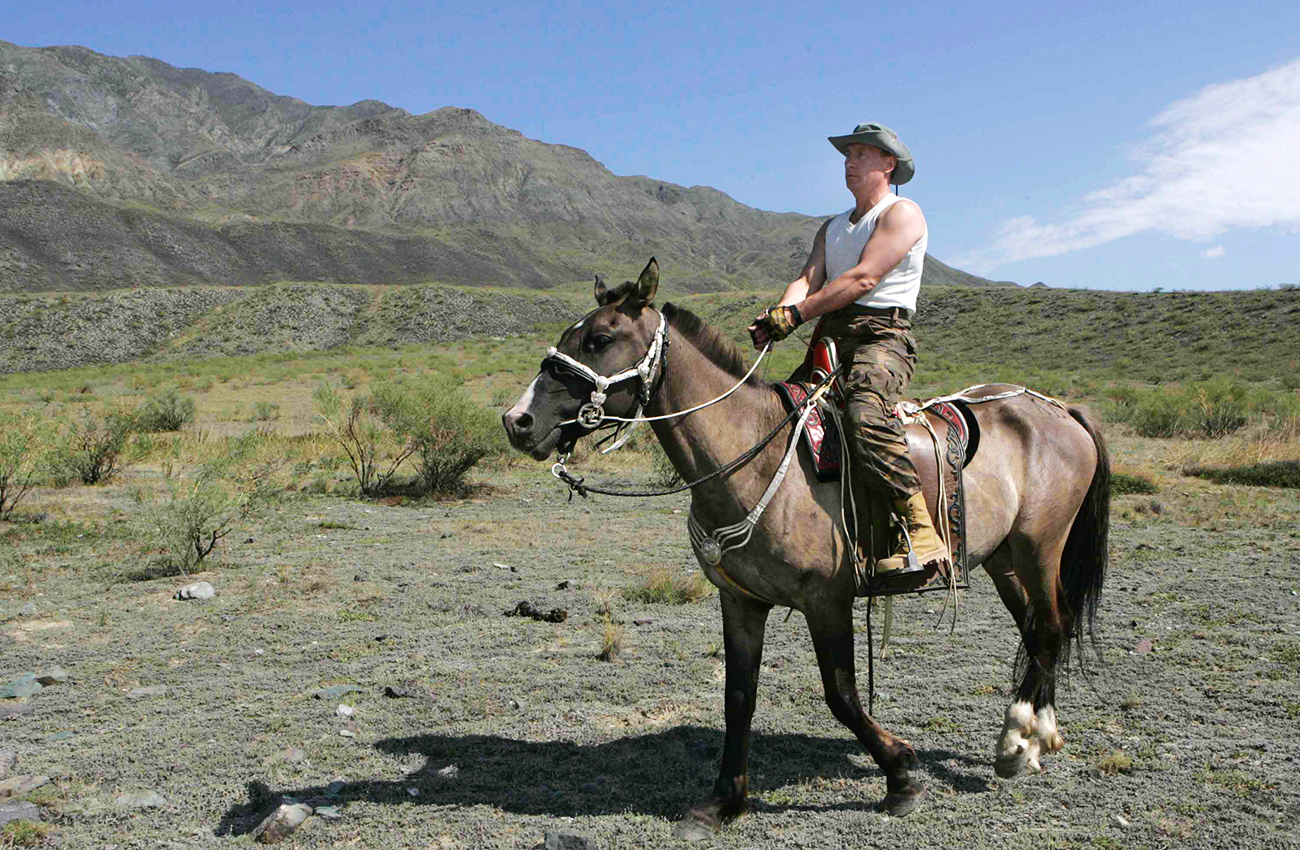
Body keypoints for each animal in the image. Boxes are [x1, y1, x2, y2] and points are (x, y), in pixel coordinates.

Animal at [496, 258, 1107, 837]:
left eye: (599, 339)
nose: (517, 420)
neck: (751, 454)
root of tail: (1057, 408)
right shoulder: (741, 601)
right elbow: (738, 697)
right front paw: (723, 801)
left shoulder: (826, 600)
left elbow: (841, 695)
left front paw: (901, 774)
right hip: (1004, 560)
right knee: (1040, 628)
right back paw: (1036, 738)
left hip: (1039, 546)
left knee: (1051, 625)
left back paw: (1018, 742)